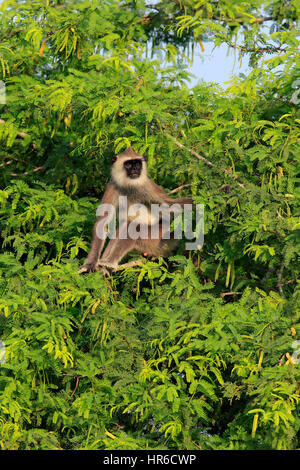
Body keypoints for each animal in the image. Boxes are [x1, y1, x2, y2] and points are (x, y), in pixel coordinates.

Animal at [78, 145, 193, 274]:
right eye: (128, 164)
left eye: (137, 164)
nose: (135, 170)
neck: (130, 186)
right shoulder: (113, 186)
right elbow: (103, 221)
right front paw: (90, 263)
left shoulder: (147, 186)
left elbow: (172, 205)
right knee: (124, 226)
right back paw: (105, 265)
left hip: (162, 238)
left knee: (132, 227)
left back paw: (109, 263)